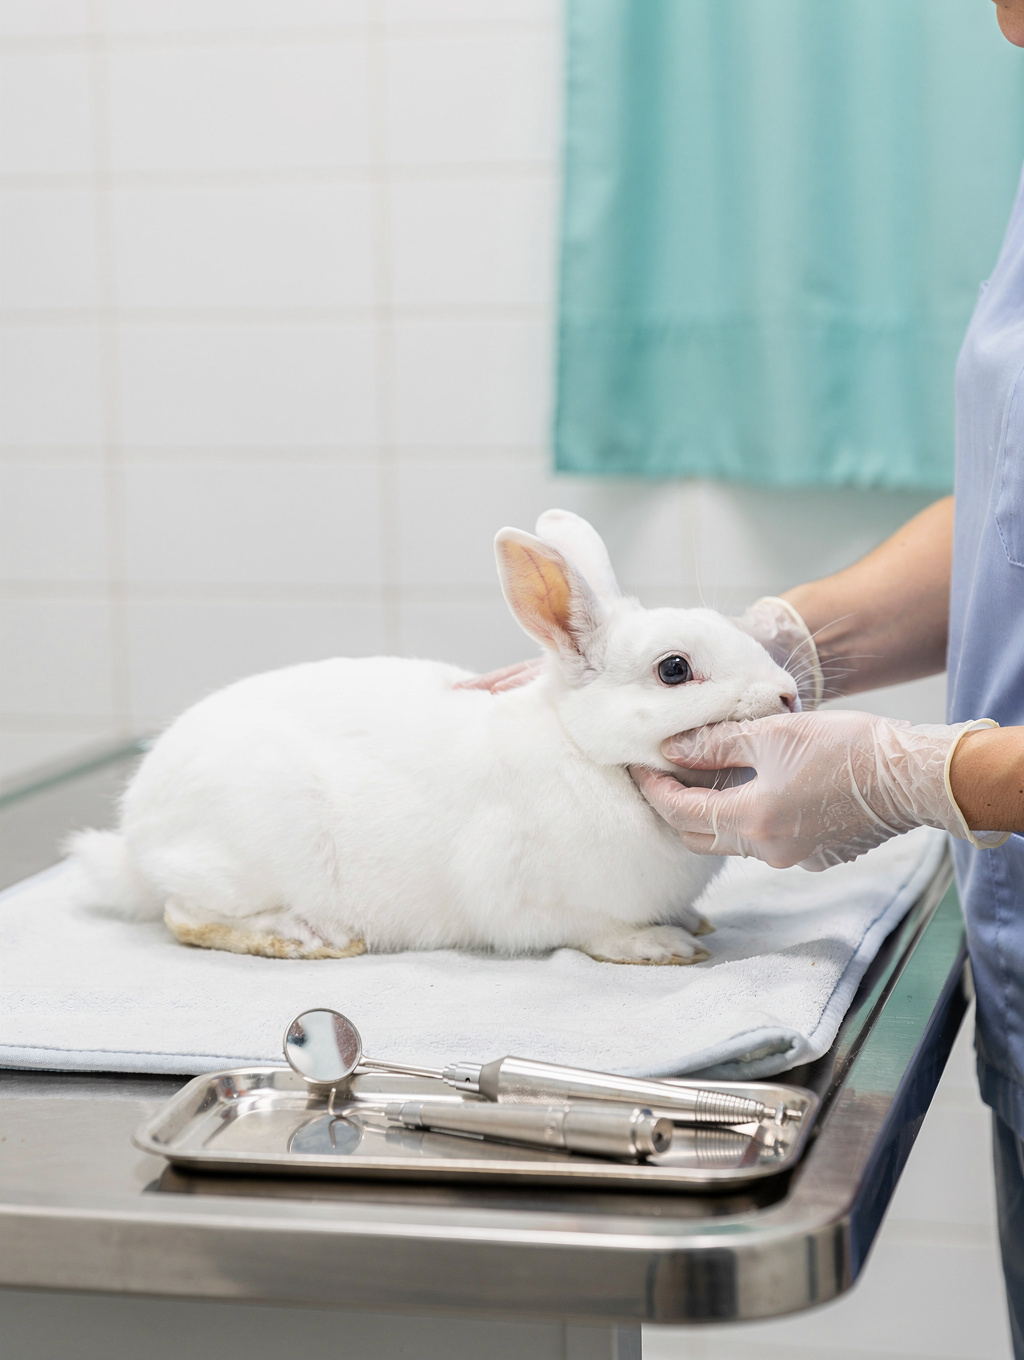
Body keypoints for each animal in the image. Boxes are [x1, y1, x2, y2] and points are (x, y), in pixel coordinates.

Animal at [68, 510, 798, 967]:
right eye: (674, 669)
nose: (789, 695)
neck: (586, 753)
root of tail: (136, 843)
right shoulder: (532, 899)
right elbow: (594, 931)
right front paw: (662, 947)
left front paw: (690, 922)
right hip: (242, 858)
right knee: (184, 916)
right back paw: (308, 936)